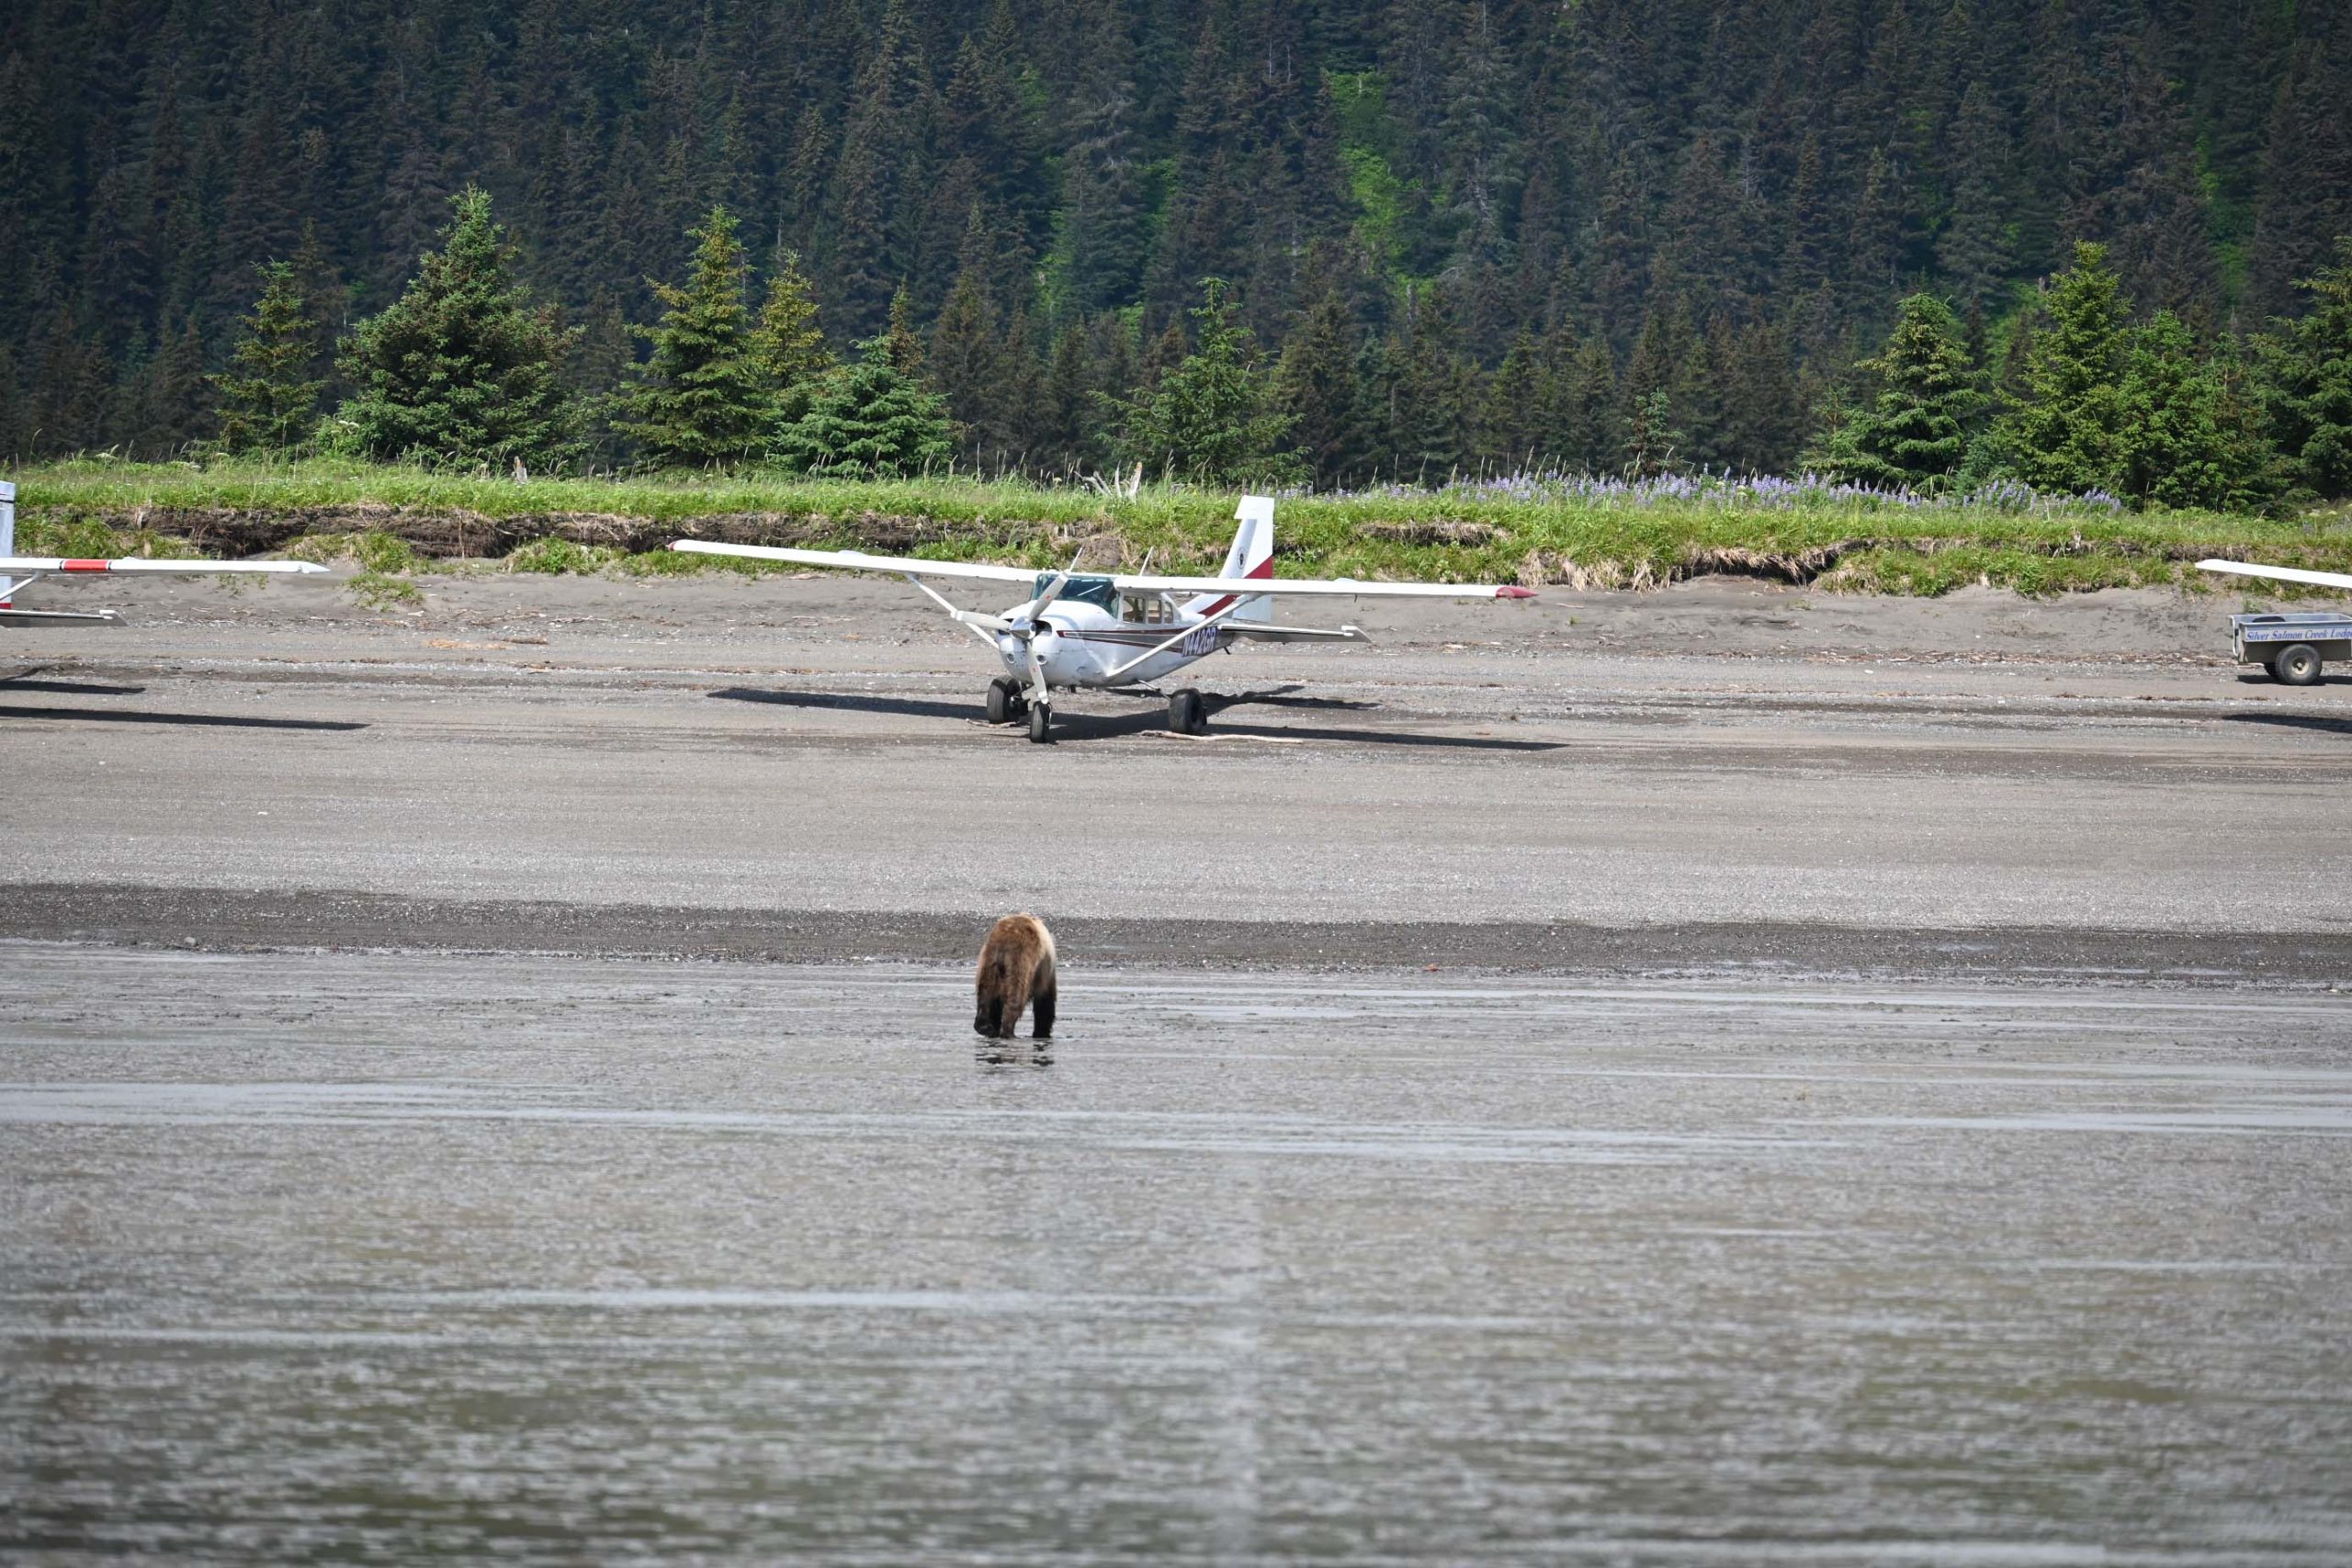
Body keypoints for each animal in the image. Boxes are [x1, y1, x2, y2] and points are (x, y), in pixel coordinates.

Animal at [973, 911, 1058, 1034]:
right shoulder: (1044, 970)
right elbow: (1045, 1000)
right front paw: (1041, 1031)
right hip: (1020, 961)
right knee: (1016, 995)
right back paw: (1007, 1031)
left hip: (988, 962)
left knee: (985, 993)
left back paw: (986, 1027)